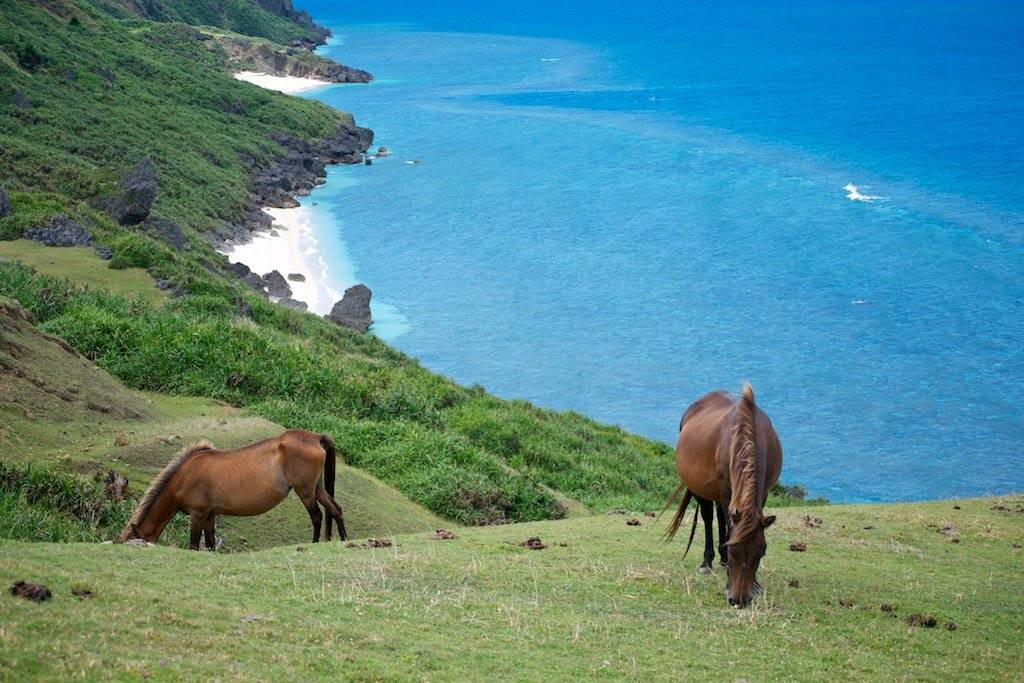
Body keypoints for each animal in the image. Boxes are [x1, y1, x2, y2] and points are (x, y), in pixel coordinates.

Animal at [119, 432, 348, 548]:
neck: (184, 476)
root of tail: (315, 437)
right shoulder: (209, 515)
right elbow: (210, 544)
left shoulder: (197, 514)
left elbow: (194, 545)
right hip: (317, 488)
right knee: (335, 510)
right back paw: (344, 540)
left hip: (305, 491)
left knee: (317, 516)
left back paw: (315, 543)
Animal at [663, 385, 782, 610]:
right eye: (734, 551)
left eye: (761, 553)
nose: (739, 600)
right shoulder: (727, 492)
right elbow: (727, 529)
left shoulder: (762, 492)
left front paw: (755, 584)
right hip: (701, 489)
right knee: (709, 517)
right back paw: (707, 562)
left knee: (719, 517)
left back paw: (721, 560)